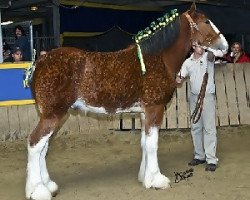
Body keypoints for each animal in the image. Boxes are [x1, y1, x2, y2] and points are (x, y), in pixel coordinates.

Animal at [25, 3, 229, 200]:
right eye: (206, 21)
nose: (225, 46)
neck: (158, 58)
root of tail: (41, 60)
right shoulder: (155, 109)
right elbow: (153, 144)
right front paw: (157, 179)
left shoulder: (144, 113)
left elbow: (145, 143)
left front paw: (145, 177)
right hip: (53, 115)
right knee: (35, 144)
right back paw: (38, 191)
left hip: (54, 115)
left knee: (43, 147)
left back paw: (48, 185)